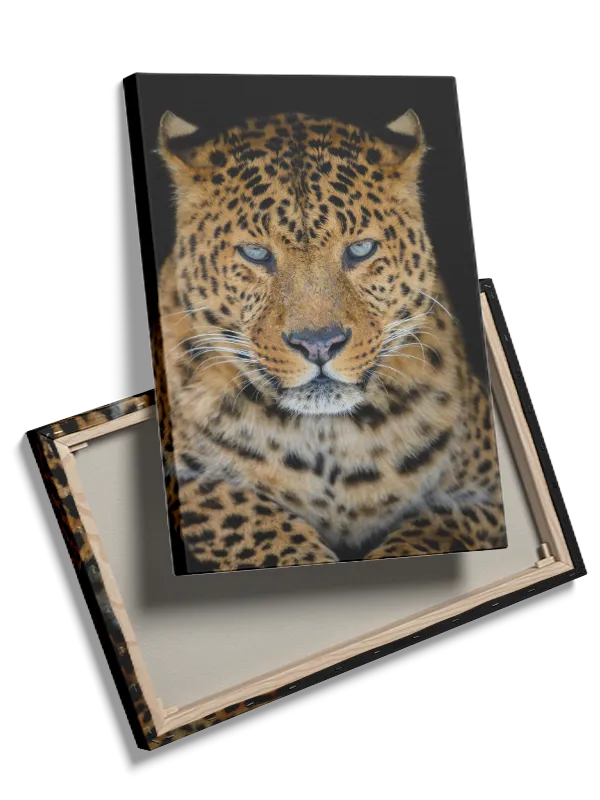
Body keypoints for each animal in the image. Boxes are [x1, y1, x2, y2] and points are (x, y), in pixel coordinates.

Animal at [154, 107, 507, 574]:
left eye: (360, 250)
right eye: (255, 254)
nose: (318, 344)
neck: (329, 438)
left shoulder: (486, 495)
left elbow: (429, 533)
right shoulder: (190, 482)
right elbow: (246, 516)